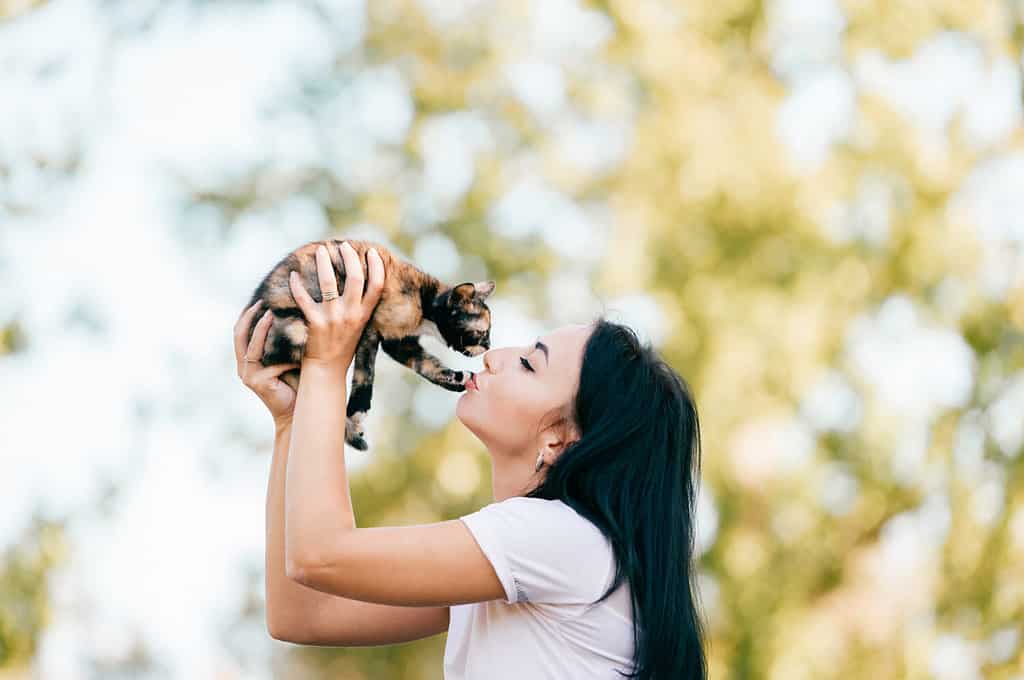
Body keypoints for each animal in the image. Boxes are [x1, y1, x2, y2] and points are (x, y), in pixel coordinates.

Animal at [243, 238, 491, 450]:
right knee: (276, 355)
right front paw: (357, 409)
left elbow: (426, 365)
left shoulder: (400, 343)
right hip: (292, 327)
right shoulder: (371, 327)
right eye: (482, 332)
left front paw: (458, 378)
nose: (489, 345)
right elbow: (366, 371)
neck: (425, 302)